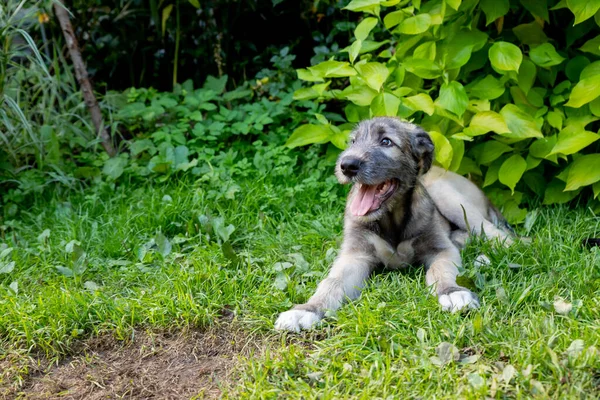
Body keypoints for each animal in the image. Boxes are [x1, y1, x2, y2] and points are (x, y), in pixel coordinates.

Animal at [274, 117, 512, 332]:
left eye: (386, 141)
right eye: (353, 142)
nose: (347, 166)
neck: (390, 218)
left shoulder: (440, 249)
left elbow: (440, 270)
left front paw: (451, 292)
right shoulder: (355, 255)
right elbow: (332, 282)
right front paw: (306, 309)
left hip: (449, 197)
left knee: (502, 235)